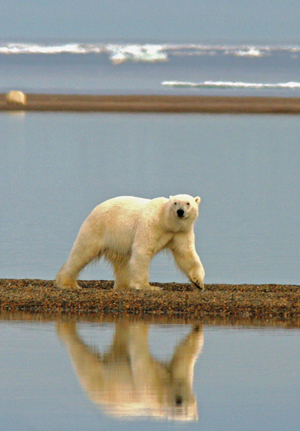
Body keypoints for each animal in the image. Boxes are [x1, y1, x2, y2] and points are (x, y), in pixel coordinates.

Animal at [55, 195, 205, 290]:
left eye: (188, 203)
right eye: (175, 203)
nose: (180, 211)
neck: (165, 222)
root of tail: (94, 209)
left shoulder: (181, 233)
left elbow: (185, 254)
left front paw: (198, 282)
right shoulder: (150, 225)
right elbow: (142, 250)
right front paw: (148, 286)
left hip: (117, 241)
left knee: (122, 261)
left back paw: (124, 285)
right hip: (98, 227)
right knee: (82, 253)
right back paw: (68, 283)